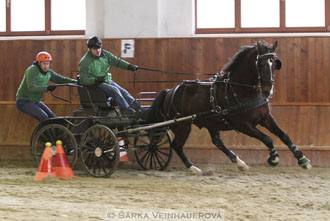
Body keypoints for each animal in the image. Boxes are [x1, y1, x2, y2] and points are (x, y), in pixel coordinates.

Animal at [147, 41, 312, 173]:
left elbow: (283, 135)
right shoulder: (243, 125)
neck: (242, 90)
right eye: (262, 64)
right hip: (183, 126)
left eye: (274, 64)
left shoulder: (265, 117)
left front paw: (302, 159)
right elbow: (267, 138)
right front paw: (274, 157)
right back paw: (192, 167)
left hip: (211, 122)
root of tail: (170, 91)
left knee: (217, 142)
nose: (268, 91)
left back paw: (239, 163)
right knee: (177, 145)